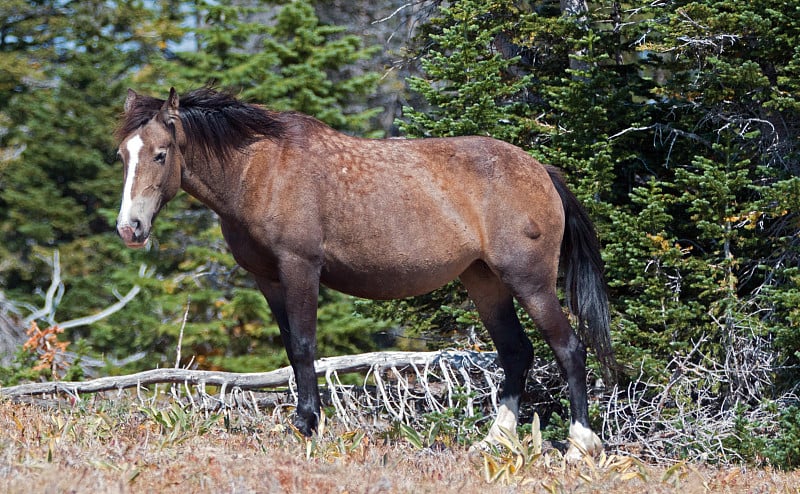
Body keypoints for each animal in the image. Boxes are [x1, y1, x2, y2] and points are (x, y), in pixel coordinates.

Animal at [114, 88, 612, 460]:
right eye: (123, 155)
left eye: (160, 154)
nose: (129, 228)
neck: (260, 171)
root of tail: (541, 171)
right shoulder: (268, 279)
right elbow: (292, 351)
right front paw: (304, 422)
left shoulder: (300, 267)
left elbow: (304, 345)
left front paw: (308, 425)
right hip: (484, 281)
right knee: (516, 352)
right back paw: (495, 440)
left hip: (529, 282)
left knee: (569, 348)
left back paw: (580, 445)